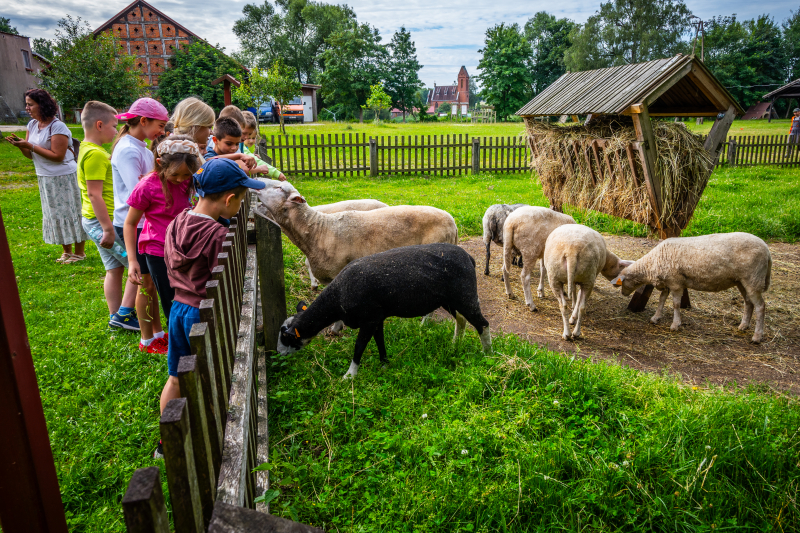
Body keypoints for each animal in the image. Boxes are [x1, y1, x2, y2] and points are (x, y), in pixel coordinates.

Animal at [282, 244, 494, 378]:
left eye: (286, 337)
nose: (279, 355)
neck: (337, 298)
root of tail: (469, 258)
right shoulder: (377, 318)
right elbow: (379, 341)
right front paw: (384, 364)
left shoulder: (368, 319)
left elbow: (359, 346)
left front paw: (350, 375)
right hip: (449, 299)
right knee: (462, 320)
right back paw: (454, 345)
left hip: (464, 294)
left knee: (482, 324)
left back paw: (488, 355)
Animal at [608, 232, 772, 340]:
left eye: (622, 282)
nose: (623, 293)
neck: (652, 264)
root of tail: (766, 249)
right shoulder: (668, 282)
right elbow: (661, 299)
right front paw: (656, 317)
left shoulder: (676, 282)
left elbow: (675, 304)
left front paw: (675, 324)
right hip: (742, 281)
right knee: (748, 302)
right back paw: (743, 326)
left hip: (753, 278)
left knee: (760, 306)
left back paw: (757, 336)